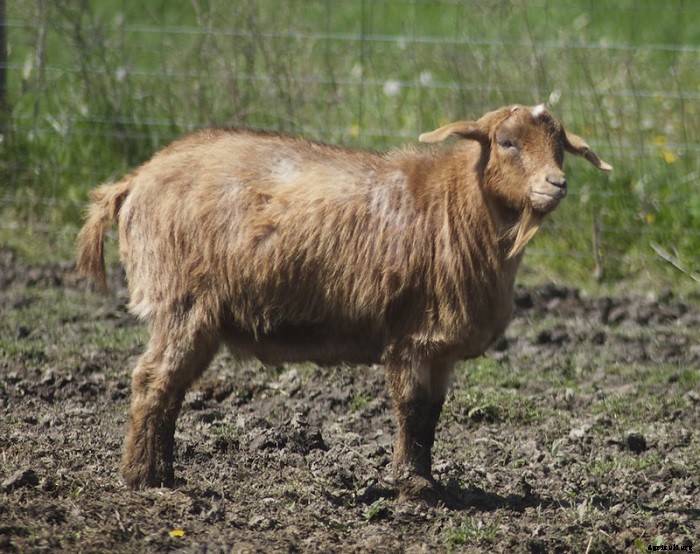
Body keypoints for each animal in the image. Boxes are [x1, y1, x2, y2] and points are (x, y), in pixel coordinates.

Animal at [77, 104, 611, 503]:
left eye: (561, 147)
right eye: (506, 142)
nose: (556, 184)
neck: (458, 204)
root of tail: (135, 180)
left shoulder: (440, 349)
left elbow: (432, 415)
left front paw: (428, 481)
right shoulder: (413, 336)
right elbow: (411, 409)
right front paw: (414, 487)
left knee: (171, 388)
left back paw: (163, 474)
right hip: (180, 301)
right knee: (152, 381)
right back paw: (143, 479)